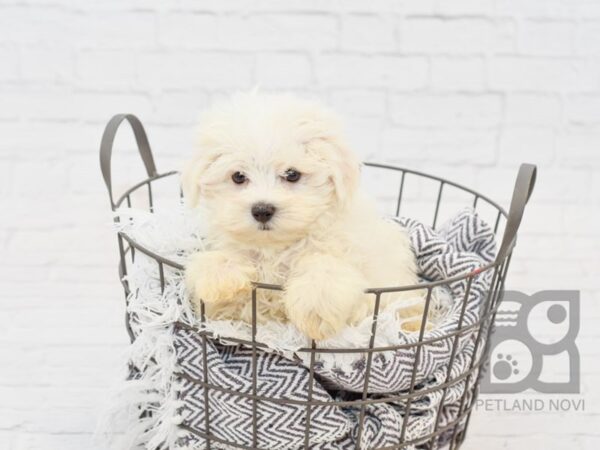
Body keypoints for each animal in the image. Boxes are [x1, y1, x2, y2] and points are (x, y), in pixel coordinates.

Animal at [183, 93, 422, 340]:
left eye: (292, 174)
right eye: (238, 176)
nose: (262, 210)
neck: (276, 249)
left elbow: (323, 264)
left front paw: (315, 303)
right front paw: (218, 273)